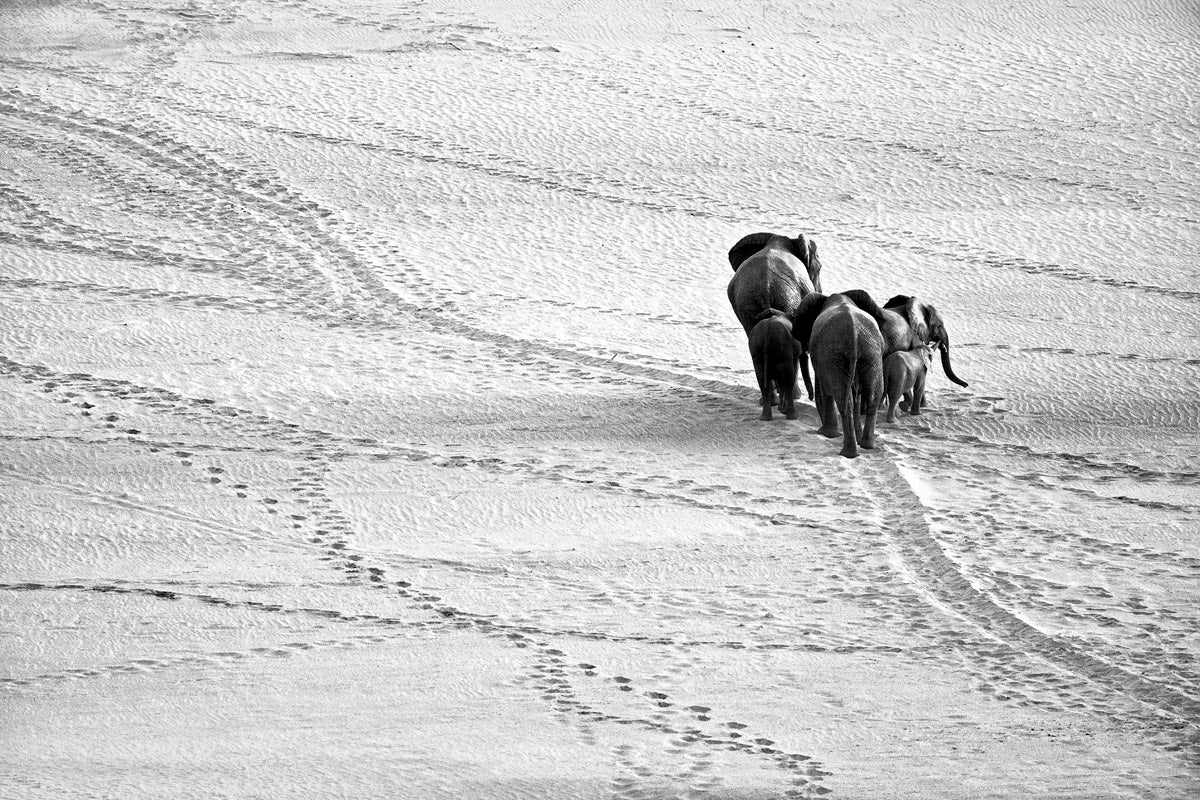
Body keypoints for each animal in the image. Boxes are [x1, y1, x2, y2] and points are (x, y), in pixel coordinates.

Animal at [727, 232, 824, 408]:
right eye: (819, 268)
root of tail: (766, 289)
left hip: (748, 306)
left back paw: (769, 401)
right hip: (786, 301)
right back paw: (791, 397)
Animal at [792, 292, 885, 458]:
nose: (809, 397)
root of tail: (854, 336)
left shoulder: (823, 359)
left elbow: (826, 389)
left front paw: (826, 434)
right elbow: (856, 395)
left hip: (836, 356)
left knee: (841, 397)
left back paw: (848, 452)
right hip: (871, 354)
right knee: (872, 396)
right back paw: (866, 446)